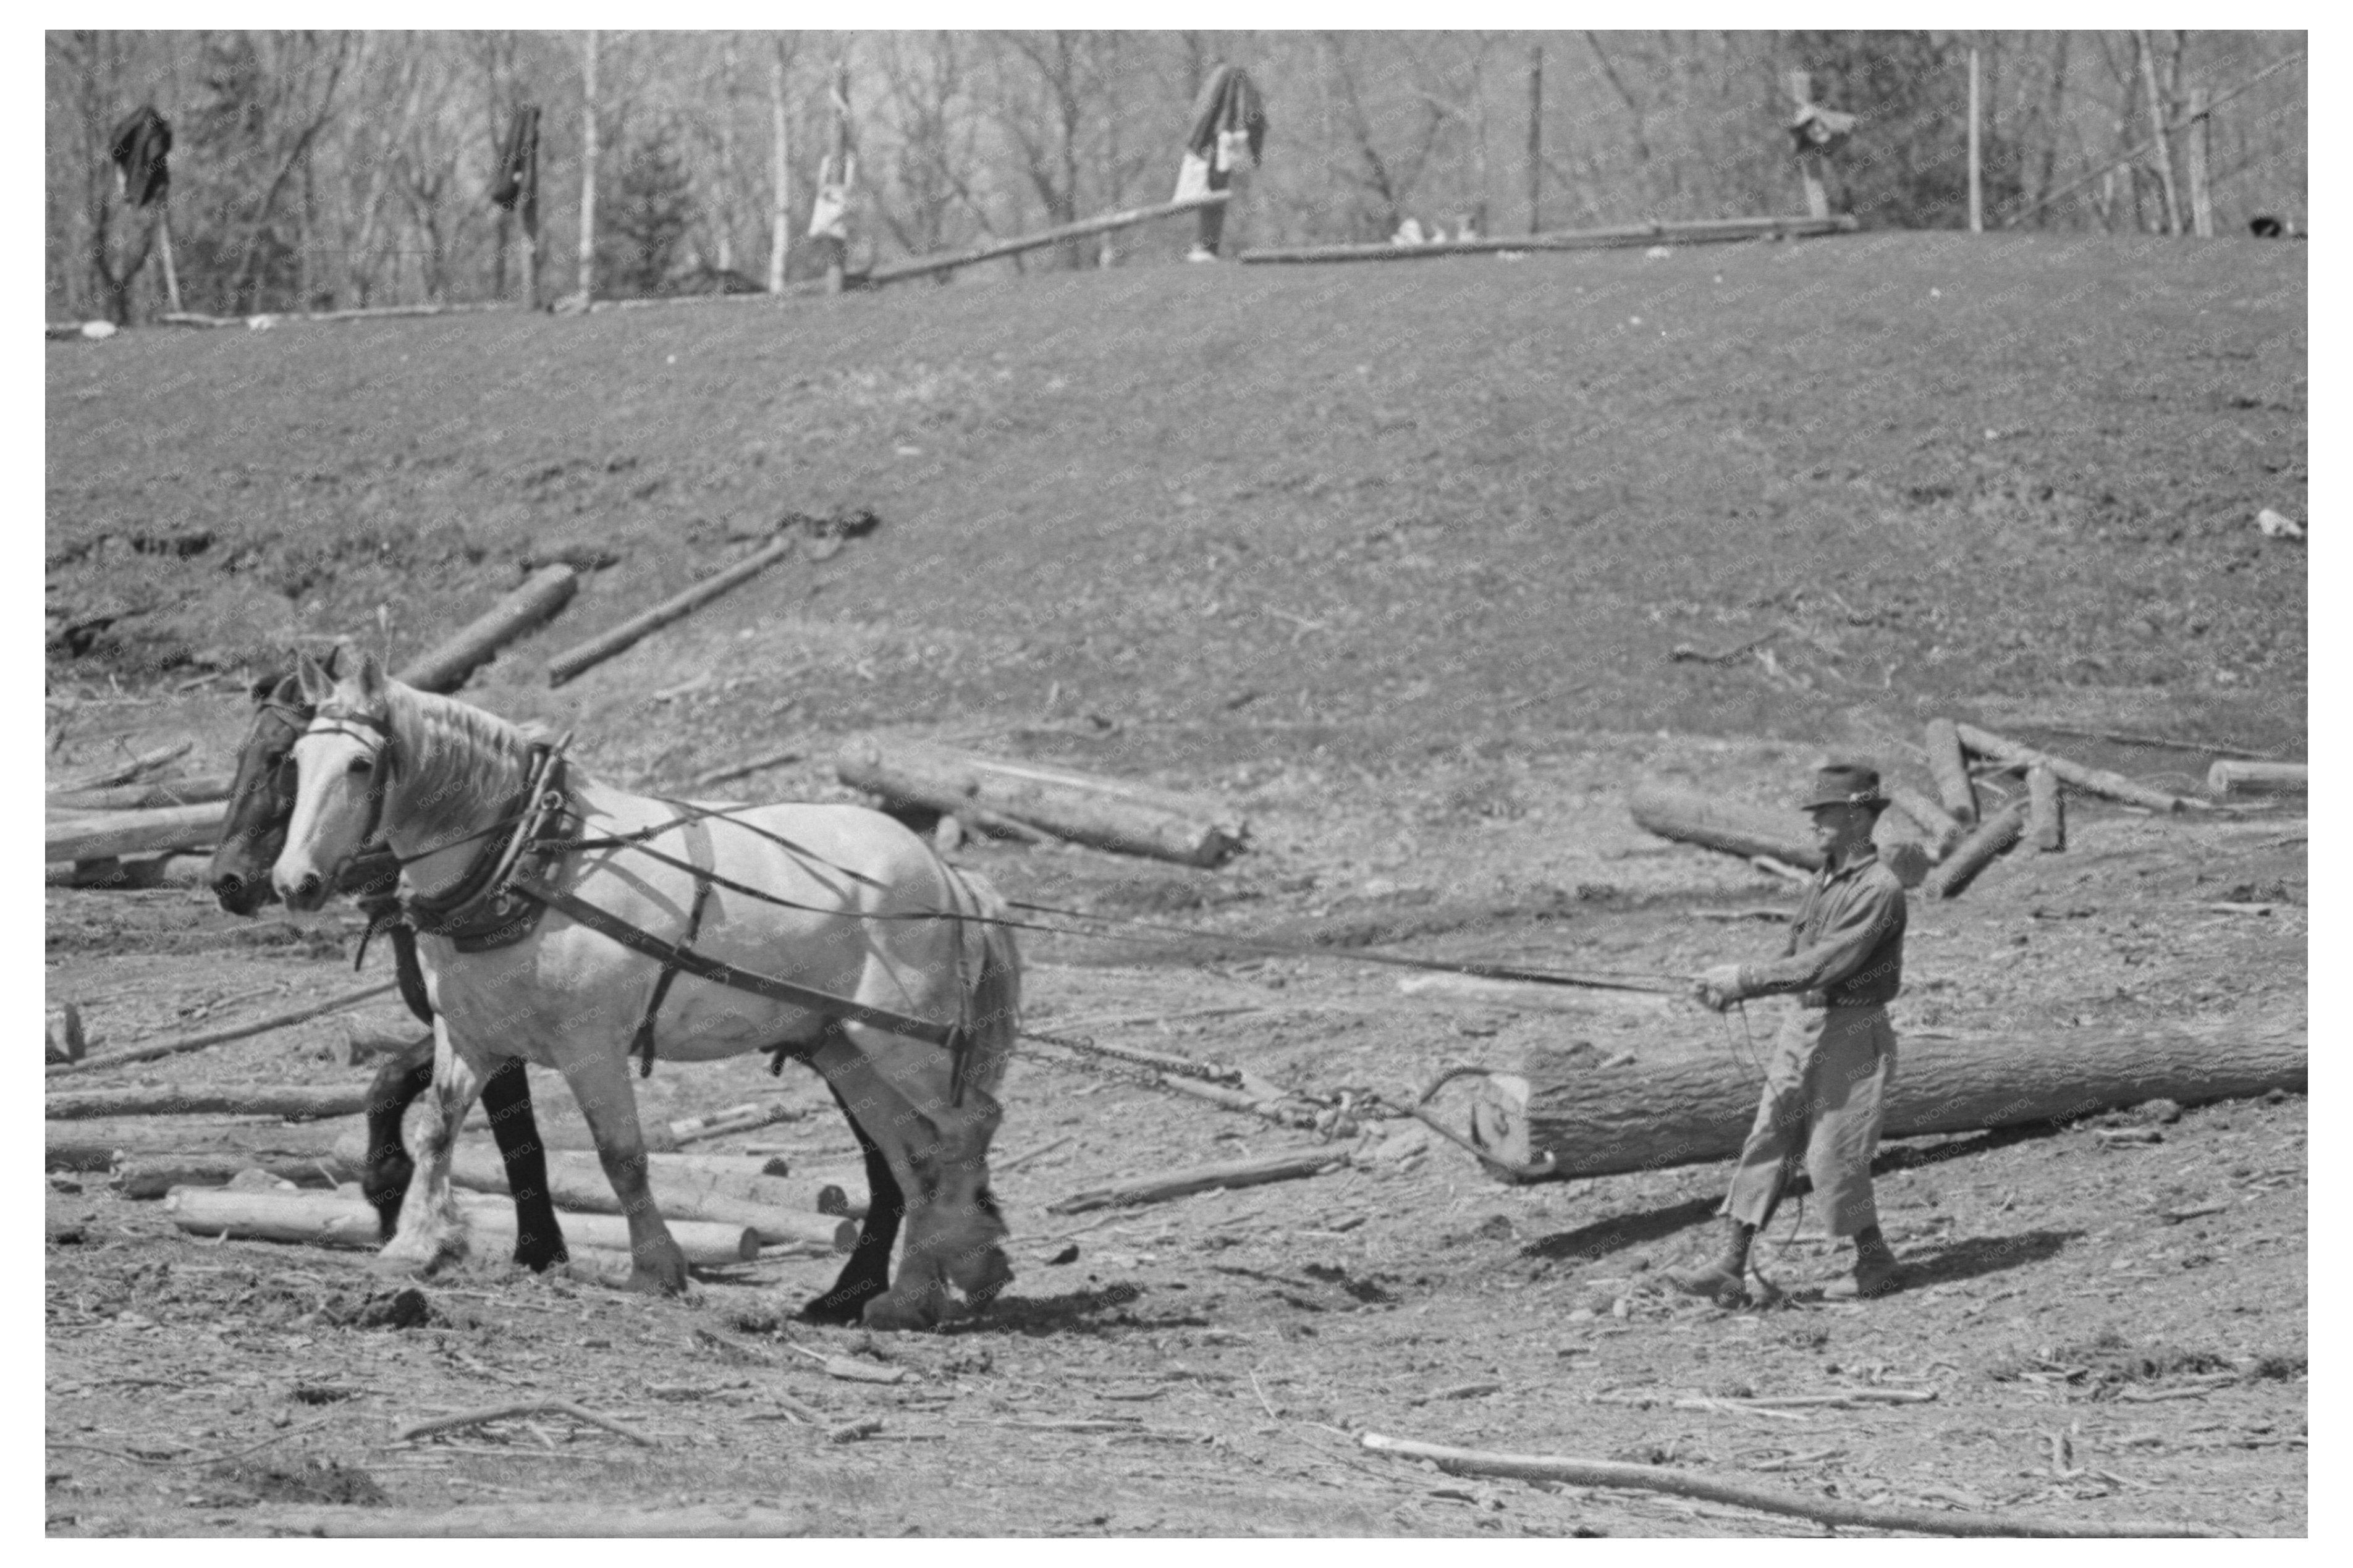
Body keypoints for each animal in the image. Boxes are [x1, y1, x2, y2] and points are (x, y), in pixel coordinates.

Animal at [205, 659, 567, 1271]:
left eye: (280, 757)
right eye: (247, 754)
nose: (226, 879)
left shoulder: (493, 1029)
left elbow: (515, 1131)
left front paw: (539, 1249)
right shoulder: (453, 1025)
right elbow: (390, 1079)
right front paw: (388, 1184)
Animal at [269, 645, 1021, 1318]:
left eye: (362, 764)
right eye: (297, 761)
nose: (293, 881)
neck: (530, 859)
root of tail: (945, 871)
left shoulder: (590, 1047)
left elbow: (621, 1156)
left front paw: (655, 1267)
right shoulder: (471, 1034)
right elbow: (435, 1130)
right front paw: (418, 1243)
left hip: (903, 1039)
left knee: (967, 1127)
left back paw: (966, 1258)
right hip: (843, 1045)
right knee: (915, 1151)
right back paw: (911, 1293)